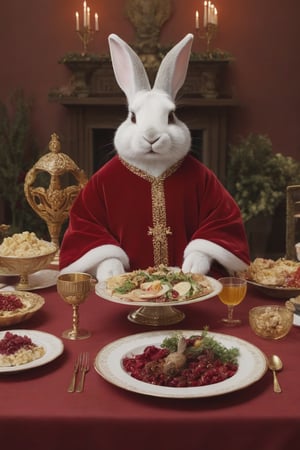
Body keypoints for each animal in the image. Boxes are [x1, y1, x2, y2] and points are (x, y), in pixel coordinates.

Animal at [59, 33, 251, 282]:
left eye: (171, 116)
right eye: (132, 117)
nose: (151, 136)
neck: (153, 167)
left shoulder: (215, 197)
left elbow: (215, 226)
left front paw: (192, 267)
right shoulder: (90, 207)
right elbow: (95, 237)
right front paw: (112, 272)